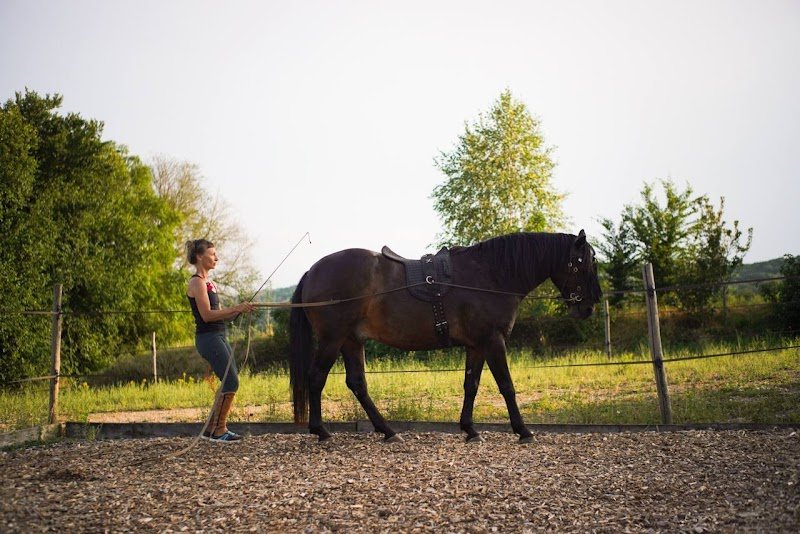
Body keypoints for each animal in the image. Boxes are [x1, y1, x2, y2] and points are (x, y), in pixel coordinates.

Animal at [289, 230, 602, 443]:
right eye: (582, 263)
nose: (588, 307)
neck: (490, 275)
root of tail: (312, 271)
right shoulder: (494, 341)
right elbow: (507, 386)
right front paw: (523, 430)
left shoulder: (477, 345)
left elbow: (471, 385)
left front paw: (470, 429)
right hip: (332, 339)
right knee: (316, 378)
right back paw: (321, 431)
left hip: (352, 341)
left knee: (357, 384)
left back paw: (388, 431)